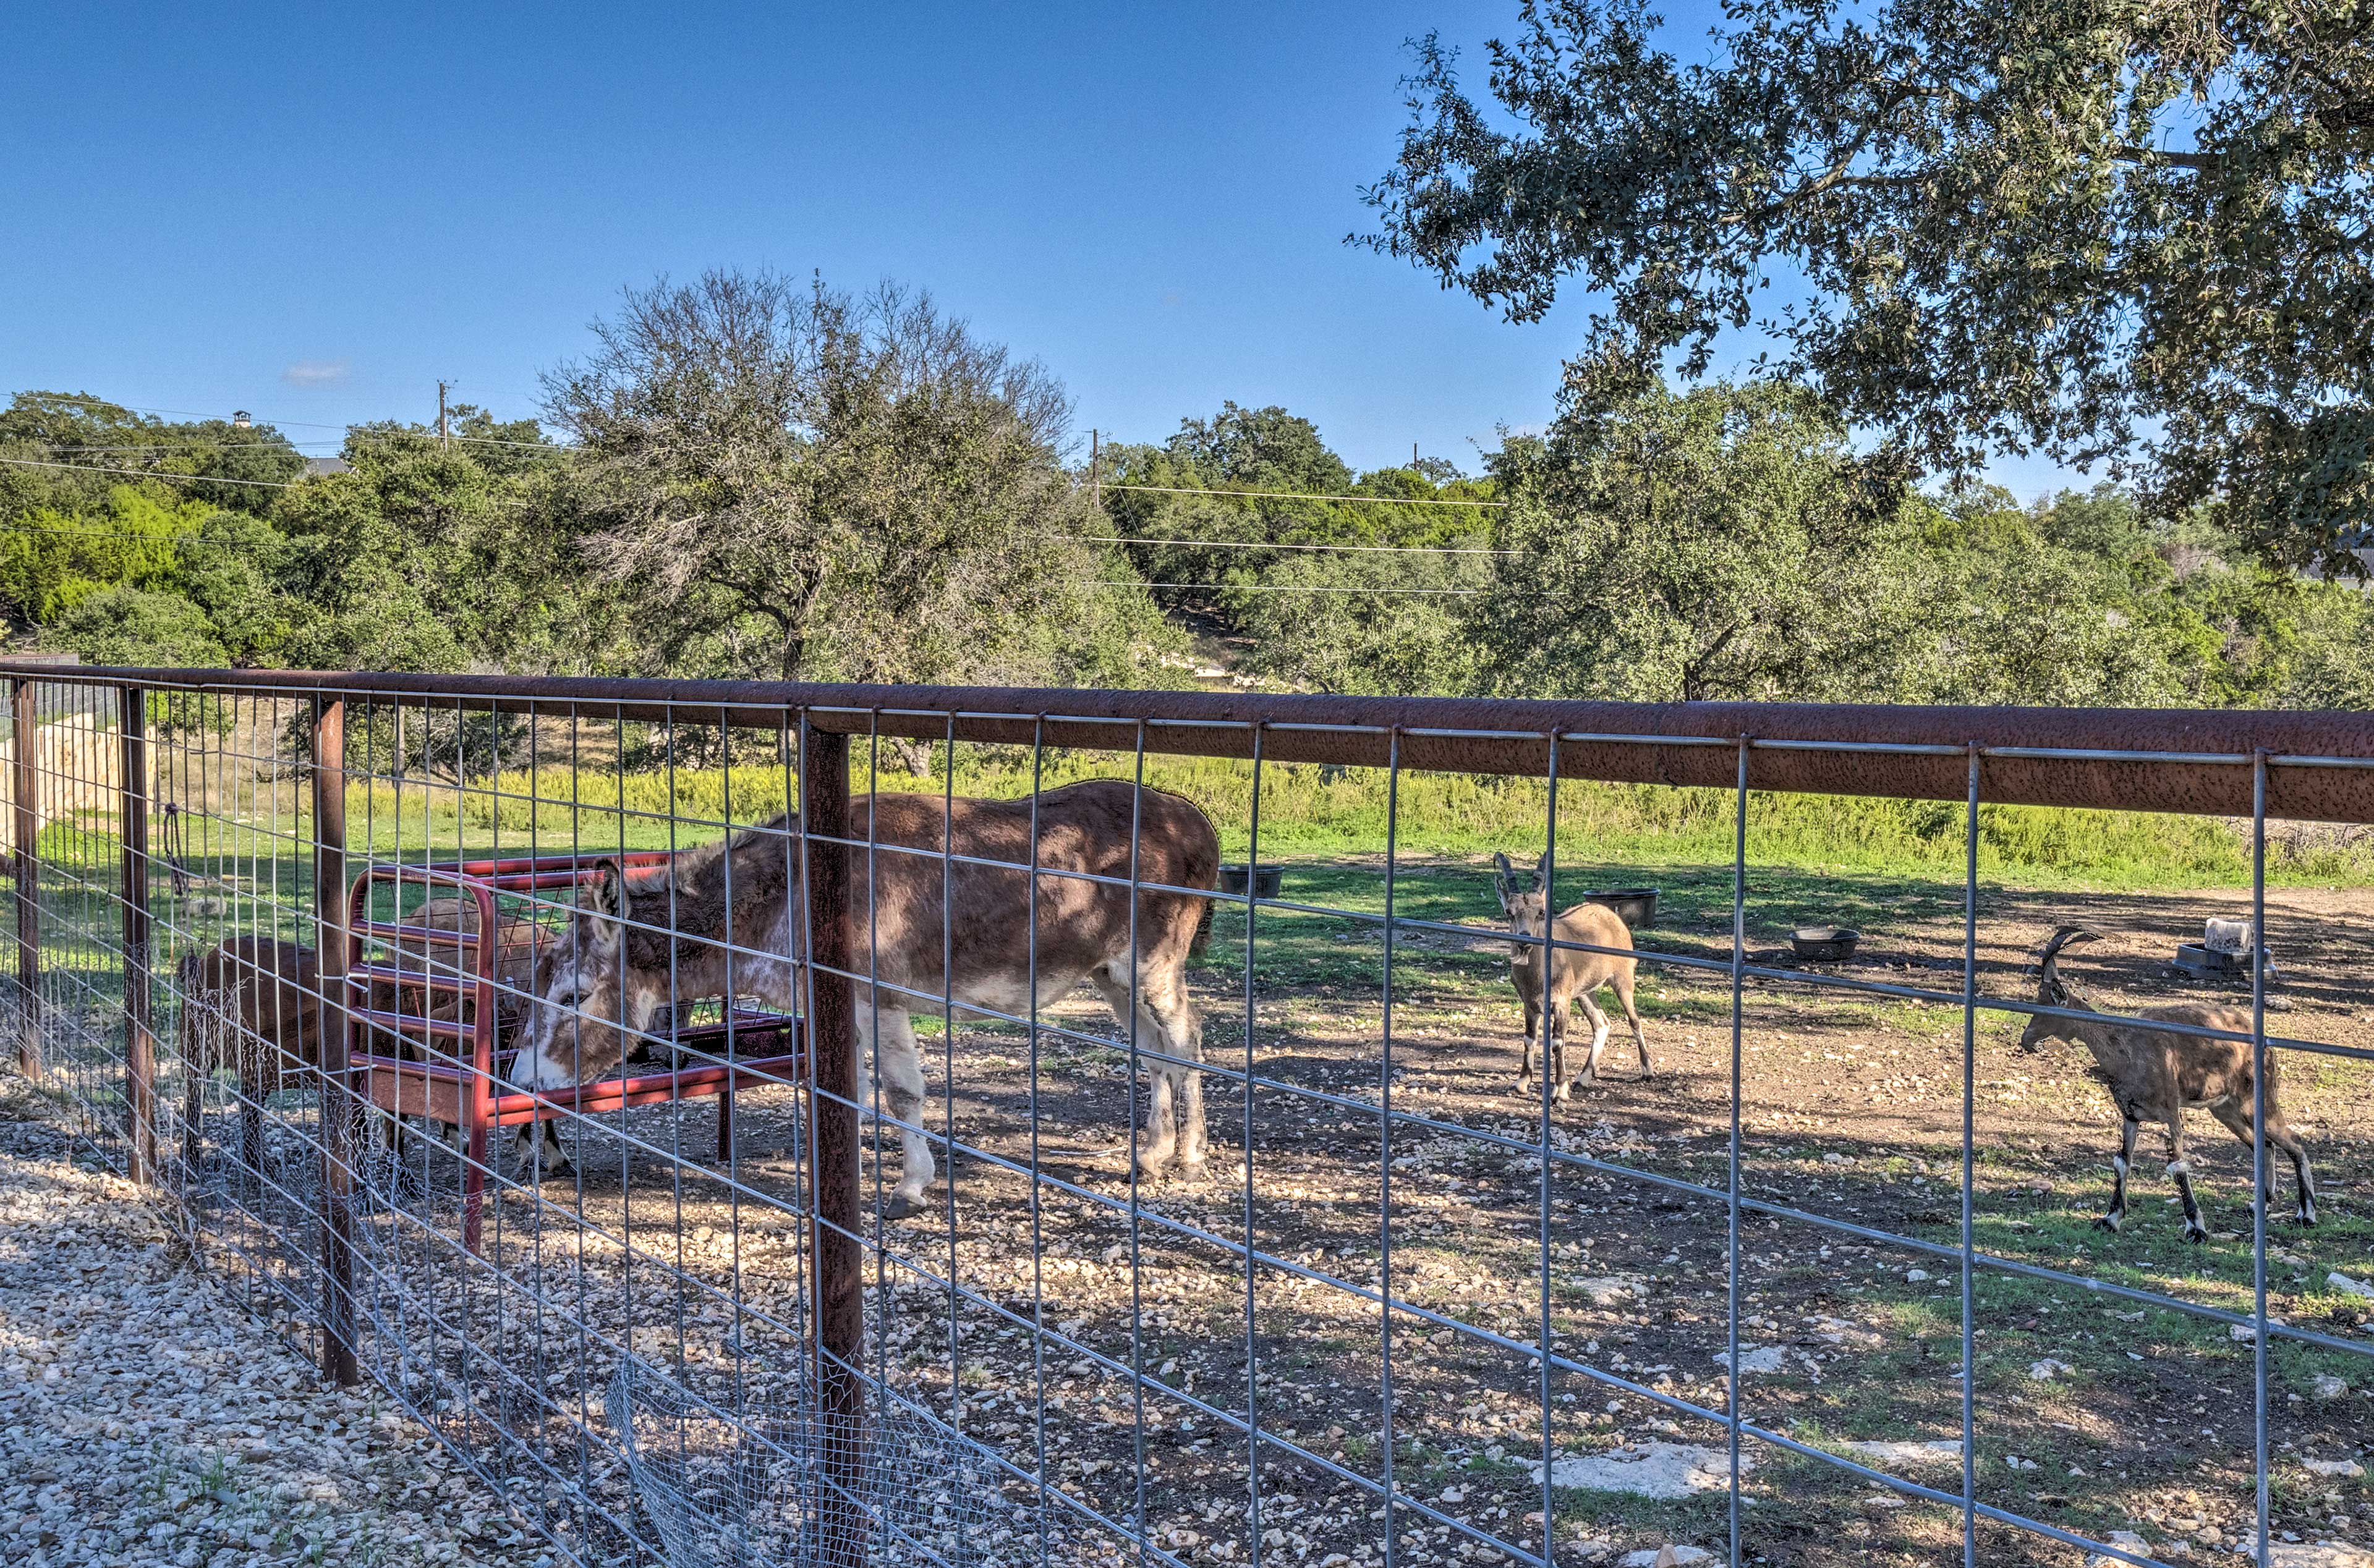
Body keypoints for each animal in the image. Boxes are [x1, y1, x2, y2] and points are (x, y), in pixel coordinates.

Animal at [1481, 849, 1652, 1096]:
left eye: (1541, 912)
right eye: (1508, 912)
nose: (1524, 940)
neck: (1539, 974)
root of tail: (1611, 915)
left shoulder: (1561, 1000)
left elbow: (1557, 1041)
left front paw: (1560, 1090)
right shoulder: (1530, 1002)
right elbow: (1529, 1038)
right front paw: (1522, 1082)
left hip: (1623, 978)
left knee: (1634, 1020)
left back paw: (1647, 1069)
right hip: (1584, 992)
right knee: (1602, 1023)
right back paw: (1584, 1077)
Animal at [2013, 925, 2307, 1243]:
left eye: (2044, 1005)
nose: (2027, 1040)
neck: (2126, 1048)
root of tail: (2261, 1042)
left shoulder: (2170, 1111)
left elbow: (2177, 1165)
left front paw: (2196, 1228)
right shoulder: (2130, 1114)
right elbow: (2122, 1161)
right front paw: (2110, 1219)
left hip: (2256, 1098)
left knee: (2294, 1141)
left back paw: (2306, 1215)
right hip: (2226, 1109)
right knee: (2263, 1144)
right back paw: (2259, 1204)